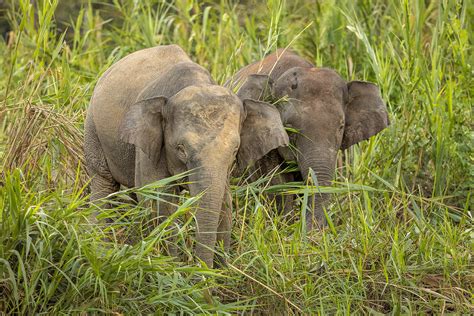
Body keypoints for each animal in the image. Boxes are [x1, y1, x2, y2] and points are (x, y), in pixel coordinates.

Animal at [83, 44, 286, 266]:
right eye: (181, 149)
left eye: (234, 150)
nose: (202, 267)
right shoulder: (151, 146)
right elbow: (159, 200)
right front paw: (170, 265)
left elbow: (224, 202)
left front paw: (221, 269)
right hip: (93, 128)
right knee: (103, 182)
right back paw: (98, 246)